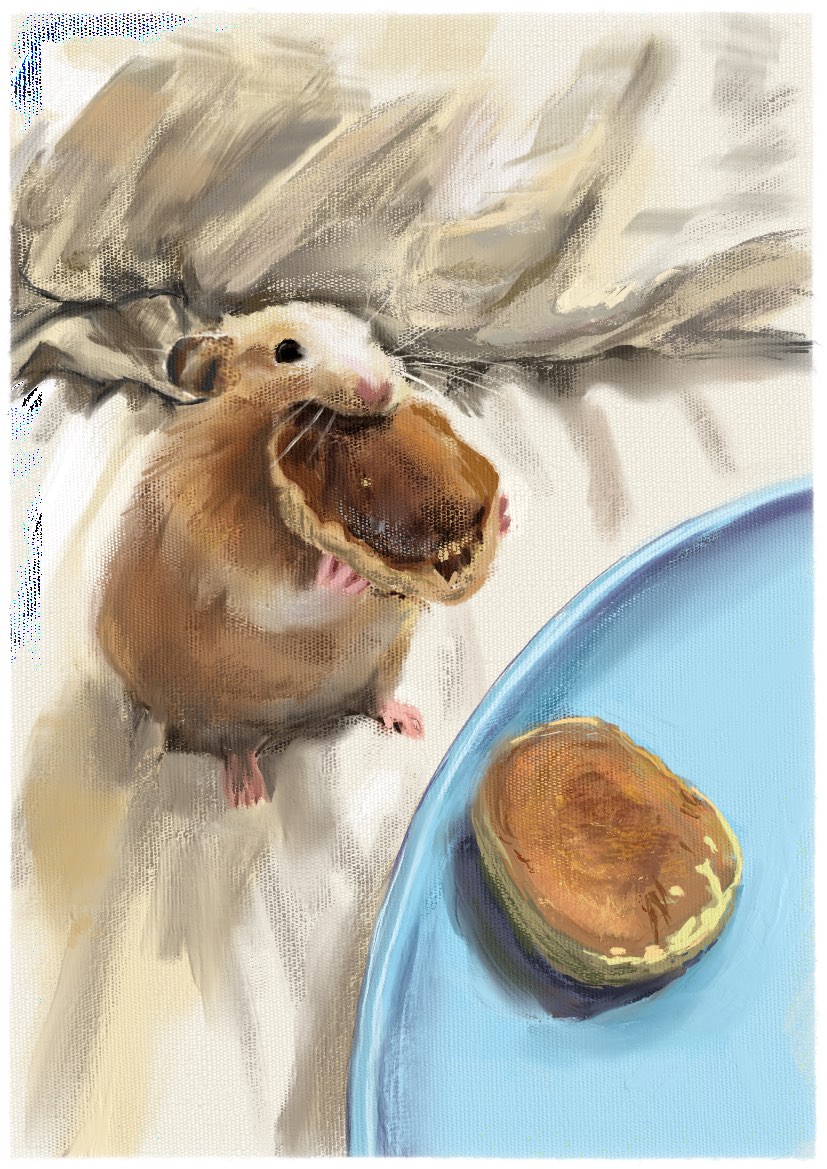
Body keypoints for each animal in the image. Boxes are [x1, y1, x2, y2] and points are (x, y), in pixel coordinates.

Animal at [97, 301, 509, 808]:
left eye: (368, 336)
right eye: (287, 352)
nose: (379, 391)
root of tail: (303, 720)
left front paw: (503, 511)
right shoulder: (225, 567)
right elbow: (285, 601)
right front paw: (342, 573)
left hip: (385, 660)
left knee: (373, 700)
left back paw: (409, 722)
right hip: (215, 709)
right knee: (234, 745)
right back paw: (248, 793)